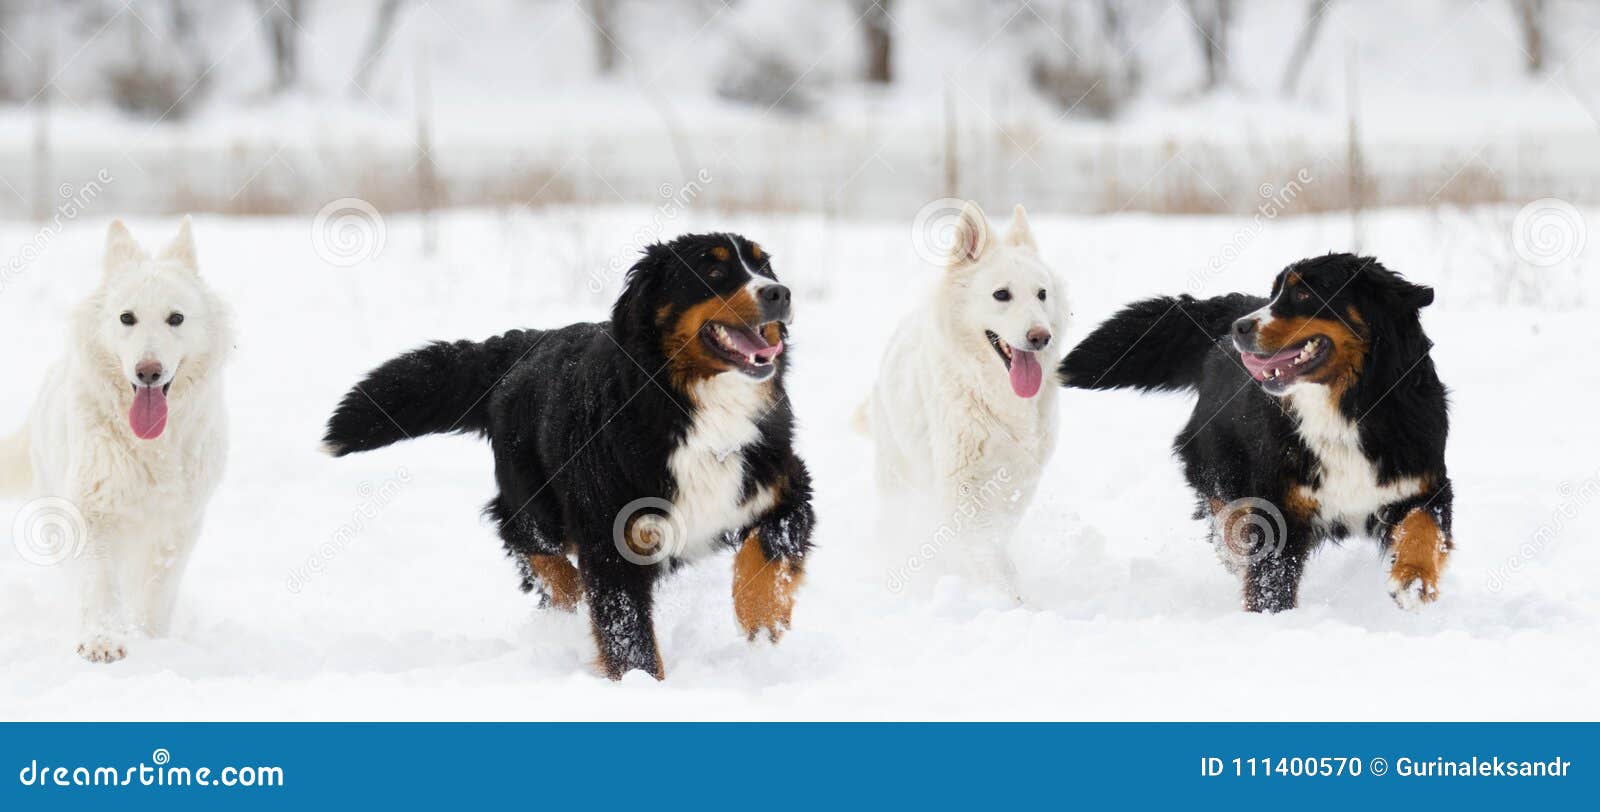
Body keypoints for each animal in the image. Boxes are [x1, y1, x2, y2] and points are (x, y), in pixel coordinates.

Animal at [0, 218, 232, 661]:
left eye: (176, 318)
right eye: (127, 318)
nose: (148, 371)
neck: (149, 445)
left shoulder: (177, 525)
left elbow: (156, 591)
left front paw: (152, 641)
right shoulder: (94, 514)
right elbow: (101, 583)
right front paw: (102, 641)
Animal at [318, 234, 812, 677]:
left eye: (764, 266)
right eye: (711, 269)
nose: (779, 292)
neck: (694, 406)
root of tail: (527, 343)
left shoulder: (784, 486)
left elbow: (768, 557)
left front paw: (763, 634)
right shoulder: (611, 535)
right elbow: (629, 636)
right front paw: (643, 689)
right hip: (538, 504)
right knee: (521, 536)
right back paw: (567, 598)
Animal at [864, 203, 1062, 597]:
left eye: (1042, 294)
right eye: (1001, 295)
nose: (1041, 337)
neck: (997, 395)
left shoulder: (1021, 477)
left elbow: (998, 532)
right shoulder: (962, 481)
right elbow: (983, 546)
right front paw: (1006, 595)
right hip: (898, 475)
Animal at [1062, 252, 1452, 607]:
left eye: (1305, 293)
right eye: (1275, 293)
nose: (1241, 327)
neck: (1343, 411)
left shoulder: (1422, 483)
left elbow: (1424, 528)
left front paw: (1414, 581)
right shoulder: (1277, 507)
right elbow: (1270, 582)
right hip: (1221, 466)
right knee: (1228, 521)